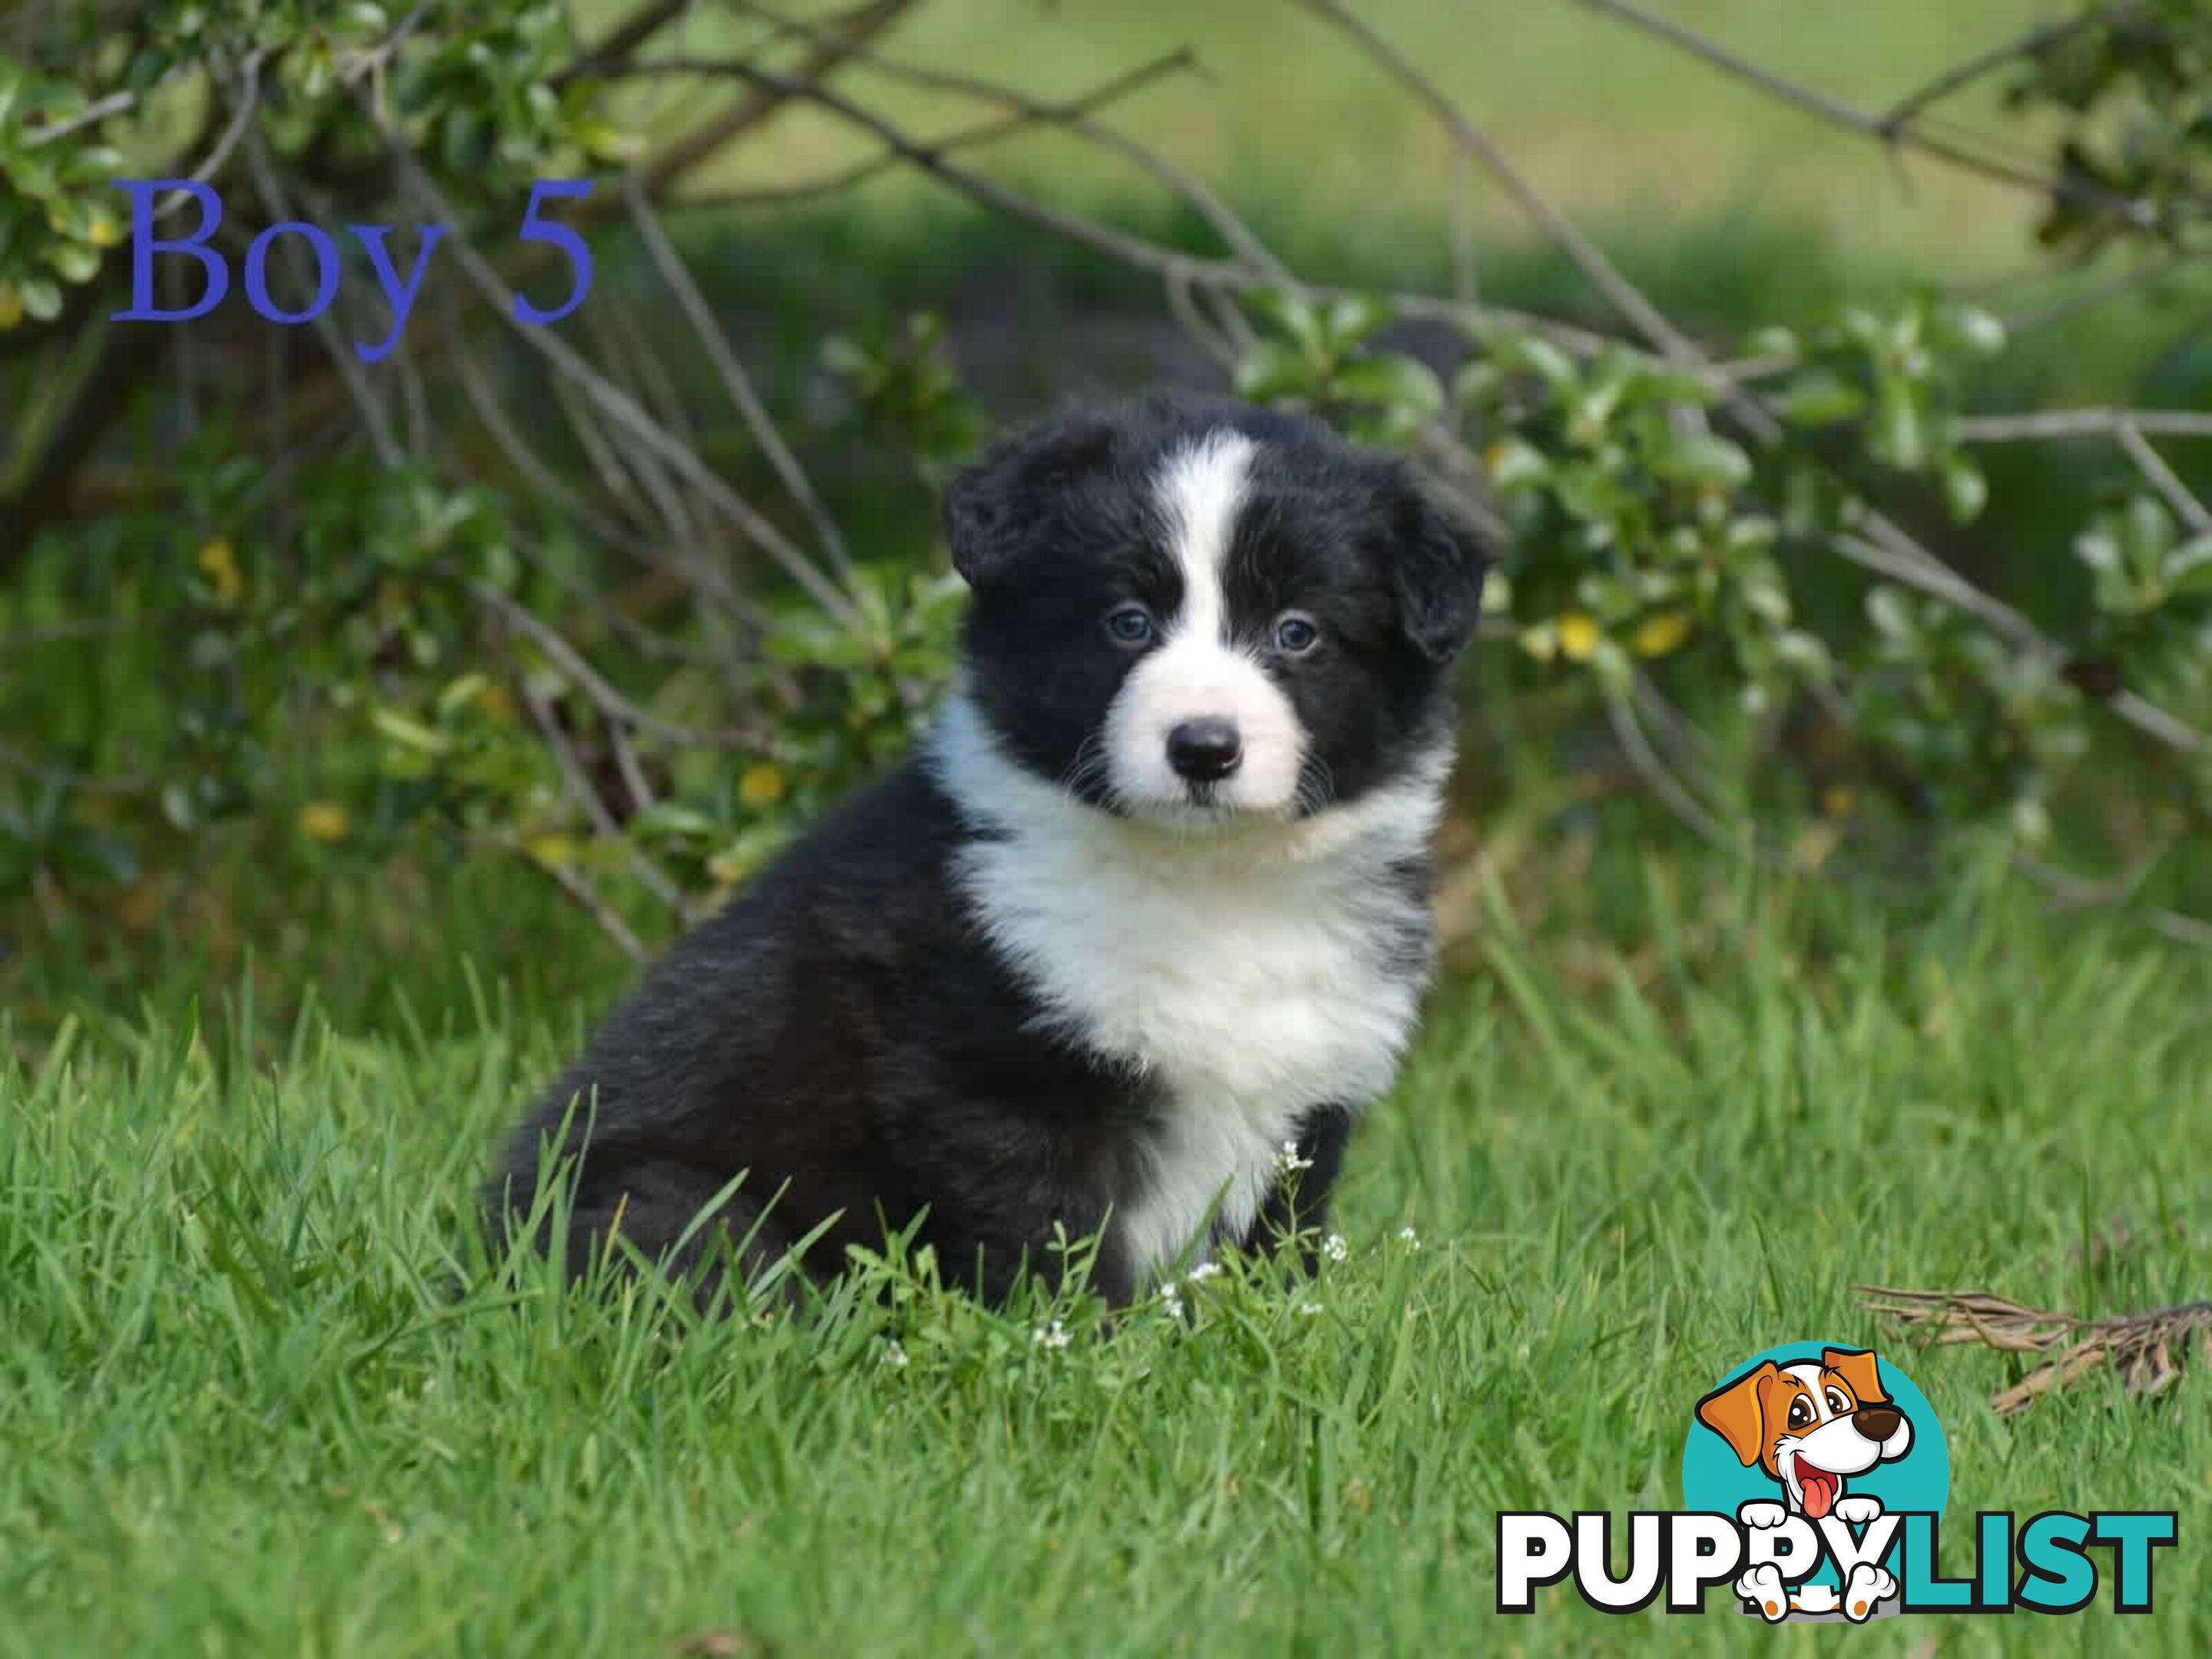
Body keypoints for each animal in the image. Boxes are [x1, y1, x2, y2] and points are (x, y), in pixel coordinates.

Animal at [484, 396, 1486, 1309]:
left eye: (1297, 632)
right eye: (1127, 621)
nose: (1203, 748)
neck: (1209, 881)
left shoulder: (1308, 1098)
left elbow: (1274, 1243)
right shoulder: (992, 1075)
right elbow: (1050, 1238)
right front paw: (1082, 1348)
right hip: (665, 1201)